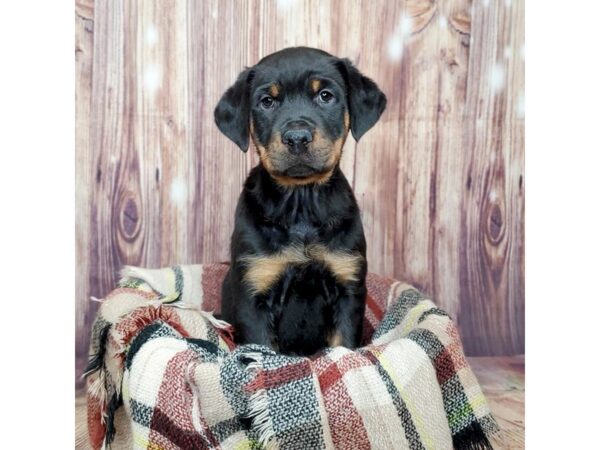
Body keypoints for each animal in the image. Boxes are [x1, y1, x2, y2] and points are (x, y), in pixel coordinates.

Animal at [213, 45, 386, 356]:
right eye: (267, 101)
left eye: (325, 96)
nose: (297, 137)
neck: (301, 205)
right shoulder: (255, 290)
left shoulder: (348, 287)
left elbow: (343, 345)